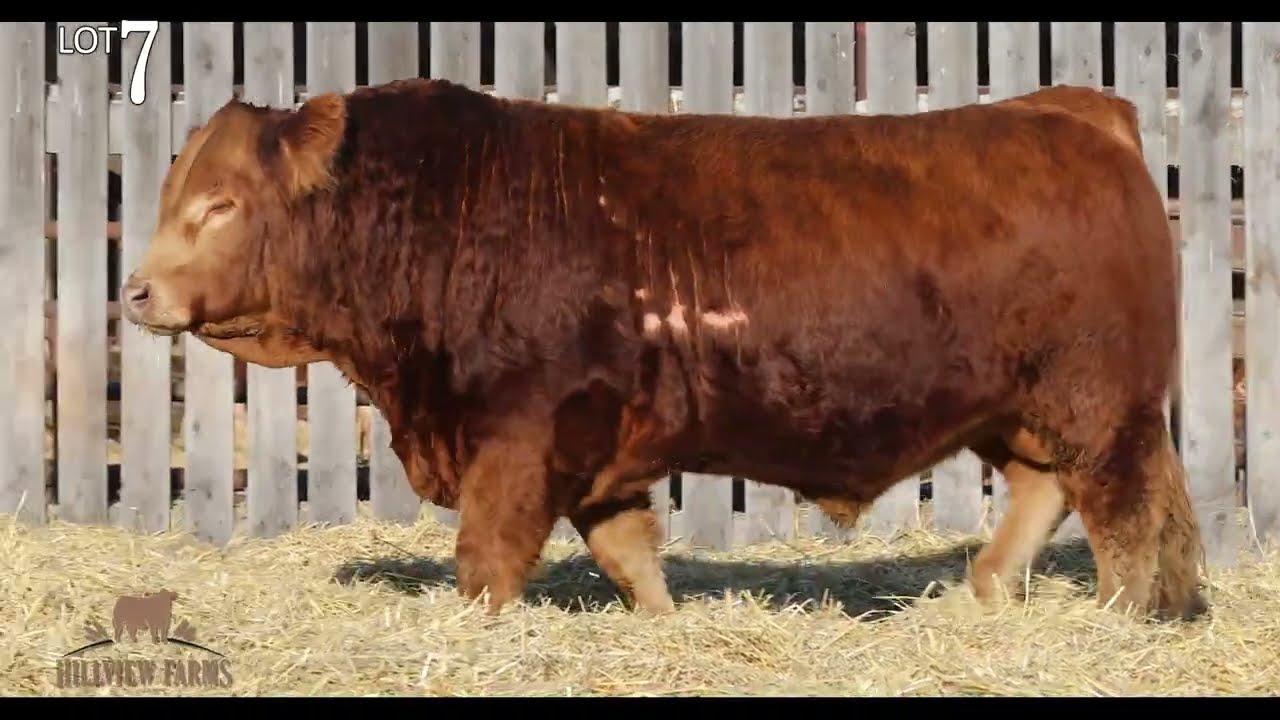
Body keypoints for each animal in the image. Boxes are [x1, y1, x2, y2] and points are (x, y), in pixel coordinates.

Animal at [120, 77, 1207, 622]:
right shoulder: (604, 453)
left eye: (220, 204)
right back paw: (985, 590)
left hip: (1101, 409)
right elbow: (629, 555)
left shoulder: (520, 439)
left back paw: (1110, 619)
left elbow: (486, 561)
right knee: (1044, 489)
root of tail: (1073, 109)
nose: (136, 291)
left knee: (1119, 519)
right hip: (1017, 411)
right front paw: (661, 625)